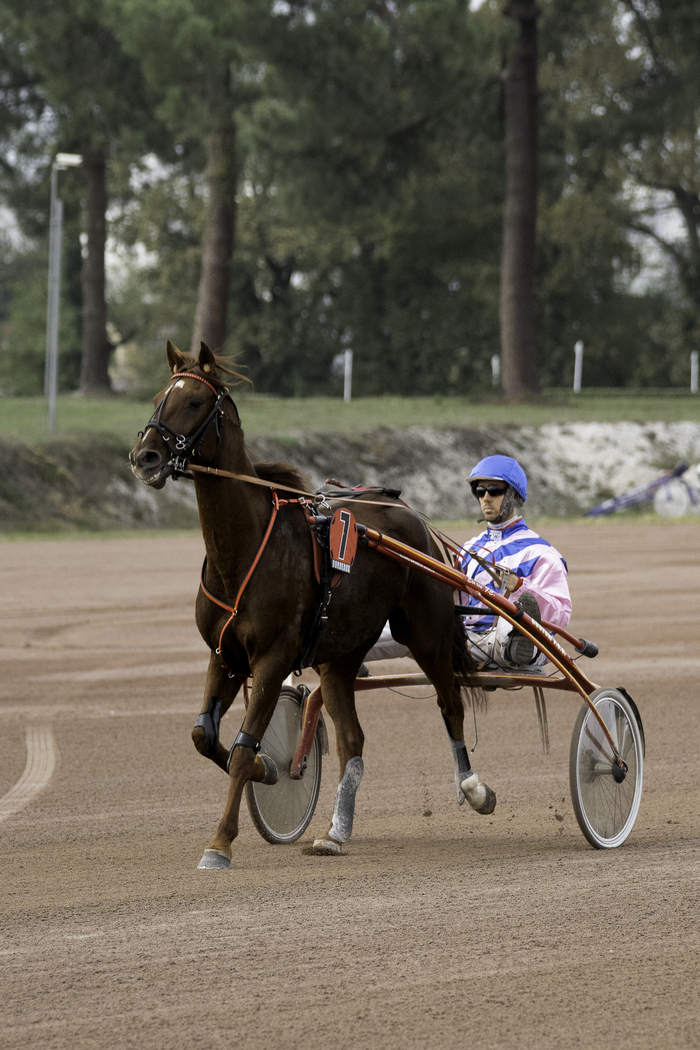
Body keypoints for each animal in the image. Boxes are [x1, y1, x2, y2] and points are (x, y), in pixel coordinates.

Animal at [128, 344, 495, 869]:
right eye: (160, 397)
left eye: (195, 401)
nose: (145, 457)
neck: (244, 552)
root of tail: (411, 515)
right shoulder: (225, 654)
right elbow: (206, 737)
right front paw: (269, 768)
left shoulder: (273, 656)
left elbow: (241, 749)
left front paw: (220, 843)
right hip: (340, 655)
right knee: (351, 739)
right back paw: (335, 831)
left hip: (425, 633)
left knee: (450, 704)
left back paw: (474, 788)